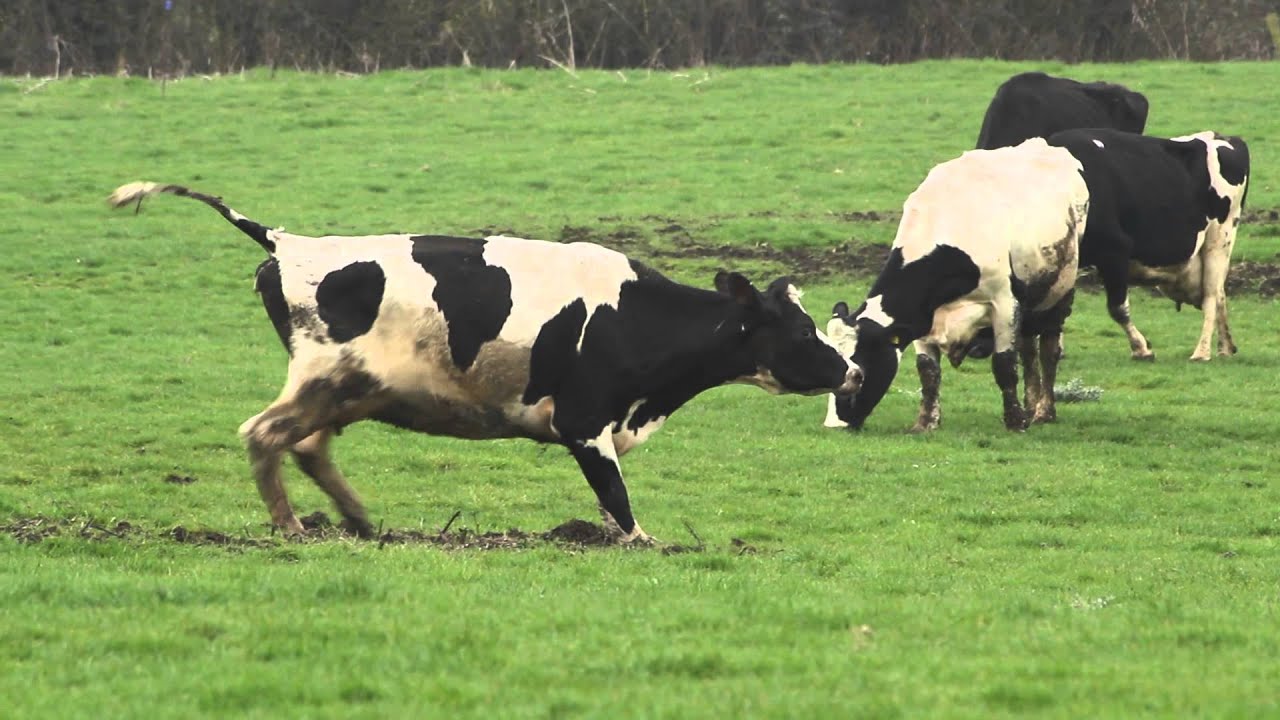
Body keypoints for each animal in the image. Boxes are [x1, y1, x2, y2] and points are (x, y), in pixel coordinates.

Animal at [108, 182, 862, 543]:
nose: (852, 373)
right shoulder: (584, 422)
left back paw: (358, 522)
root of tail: (289, 241)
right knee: (266, 435)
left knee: (308, 446)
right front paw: (645, 542)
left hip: (349, 389)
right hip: (322, 378)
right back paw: (292, 528)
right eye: (802, 331)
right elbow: (617, 503)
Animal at [823, 139, 1088, 432]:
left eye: (861, 370)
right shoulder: (921, 315)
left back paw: (1044, 411)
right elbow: (927, 370)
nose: (834, 424)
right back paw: (1031, 407)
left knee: (1048, 351)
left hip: (1060, 291)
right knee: (1029, 352)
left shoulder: (1004, 302)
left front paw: (1014, 421)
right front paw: (925, 423)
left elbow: (1004, 364)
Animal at [1045, 128, 1250, 361]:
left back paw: (1202, 352)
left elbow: (1117, 308)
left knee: (1212, 296)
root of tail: (1223, 137)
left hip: (1219, 238)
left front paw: (1141, 348)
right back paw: (1225, 347)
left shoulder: (1115, 249)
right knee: (1220, 294)